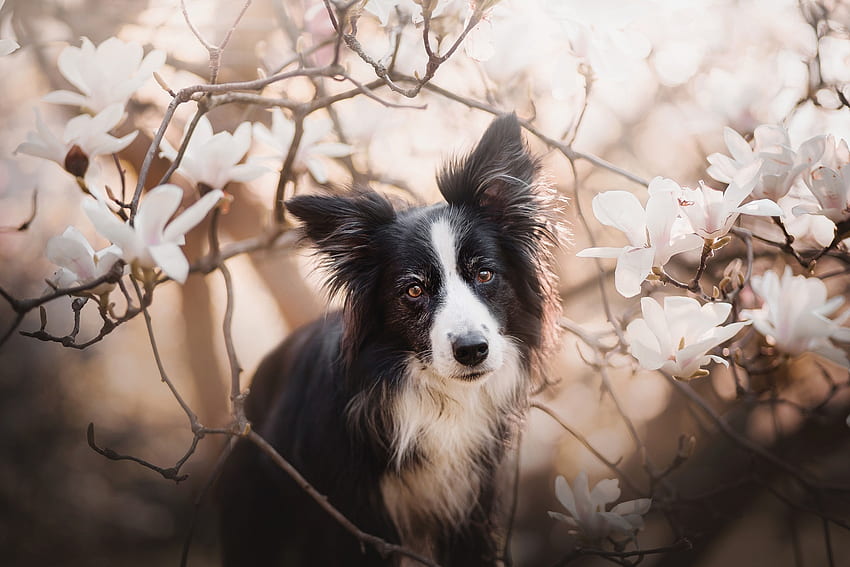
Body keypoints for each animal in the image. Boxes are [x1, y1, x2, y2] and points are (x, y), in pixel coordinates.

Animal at [219, 115, 560, 567]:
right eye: (413, 290)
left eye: (485, 274)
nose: (472, 351)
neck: (437, 400)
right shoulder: (350, 521)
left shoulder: (472, 511)